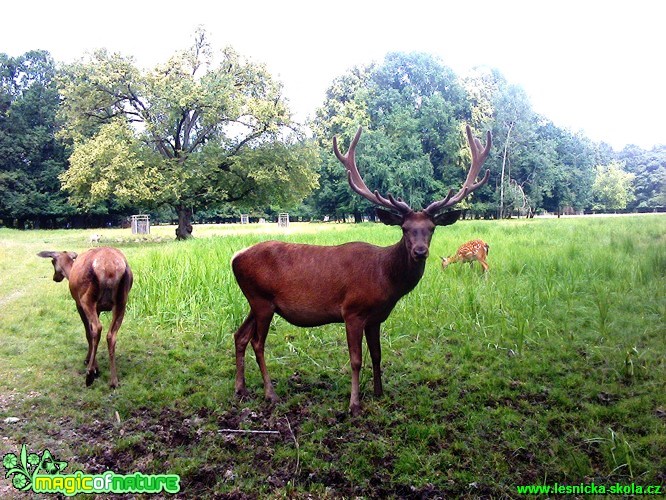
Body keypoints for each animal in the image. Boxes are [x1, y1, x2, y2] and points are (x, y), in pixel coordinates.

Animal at [231, 127, 490, 416]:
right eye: (405, 228)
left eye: (432, 228)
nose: (420, 251)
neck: (385, 279)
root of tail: (235, 257)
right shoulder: (352, 311)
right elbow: (355, 359)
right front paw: (354, 404)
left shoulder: (376, 317)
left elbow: (377, 354)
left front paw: (379, 391)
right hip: (262, 300)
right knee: (257, 342)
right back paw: (270, 394)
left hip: (256, 302)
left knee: (240, 336)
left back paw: (241, 389)